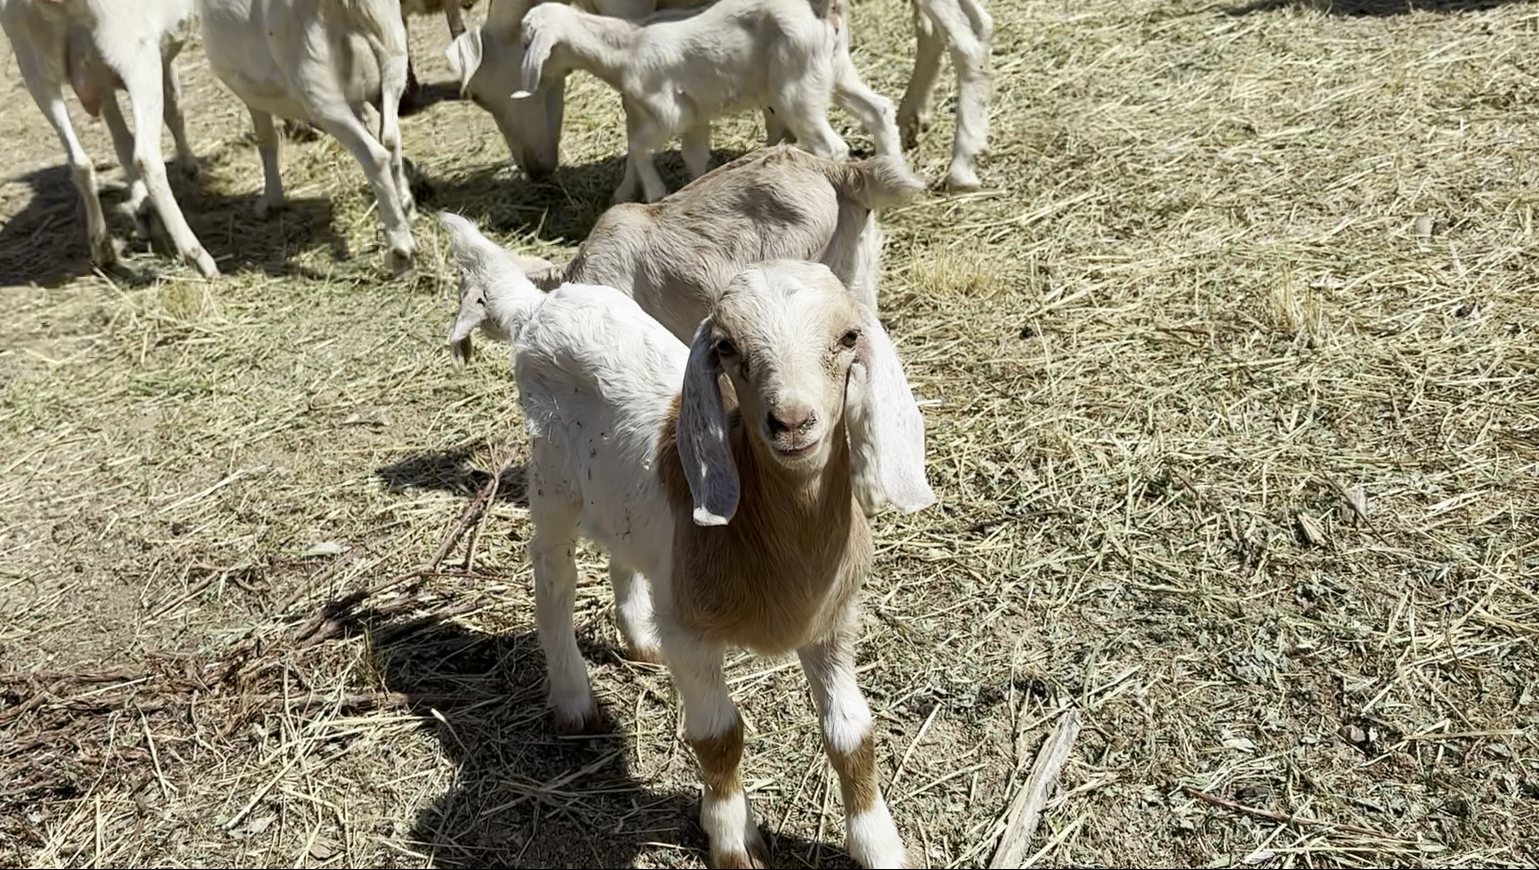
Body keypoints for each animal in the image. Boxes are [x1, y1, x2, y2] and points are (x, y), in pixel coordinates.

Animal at [0, 0, 218, 277]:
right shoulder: (160, 55)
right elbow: (174, 107)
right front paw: (188, 168)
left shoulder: (98, 80)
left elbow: (121, 140)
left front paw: (142, 207)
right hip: (136, 58)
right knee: (146, 158)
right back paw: (197, 256)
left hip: (34, 71)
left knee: (80, 162)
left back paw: (101, 246)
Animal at [197, 0, 419, 274]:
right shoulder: (357, 96)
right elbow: (373, 121)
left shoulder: (250, 91)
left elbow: (266, 140)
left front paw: (271, 201)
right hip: (392, 50)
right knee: (390, 137)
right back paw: (405, 208)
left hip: (313, 79)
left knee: (374, 155)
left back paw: (400, 250)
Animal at [438, 226, 934, 866]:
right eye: (725, 347)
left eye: (849, 337)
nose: (792, 422)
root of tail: (539, 308)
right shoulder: (692, 634)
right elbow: (718, 737)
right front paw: (732, 842)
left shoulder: (830, 623)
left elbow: (853, 735)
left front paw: (881, 846)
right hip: (551, 476)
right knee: (553, 576)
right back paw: (574, 700)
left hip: (619, 501)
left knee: (621, 552)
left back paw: (639, 638)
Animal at [511, 0, 904, 204]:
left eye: (527, 40)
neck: (624, 49)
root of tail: (825, 9)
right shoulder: (695, 116)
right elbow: (695, 156)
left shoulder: (670, 111)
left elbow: (638, 146)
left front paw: (655, 193)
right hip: (835, 69)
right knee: (880, 109)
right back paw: (894, 177)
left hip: (796, 87)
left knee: (831, 148)